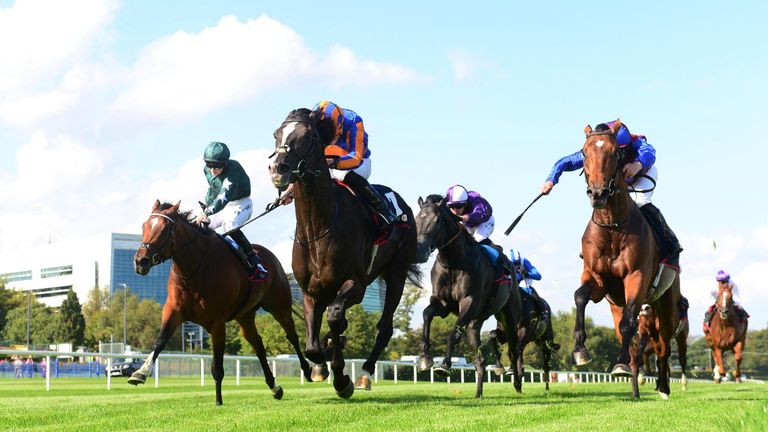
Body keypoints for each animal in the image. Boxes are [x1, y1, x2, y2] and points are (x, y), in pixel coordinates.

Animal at [130, 200, 310, 404]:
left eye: (164, 229)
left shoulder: (217, 321)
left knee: (291, 335)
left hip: (279, 306)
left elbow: (217, 365)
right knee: (258, 344)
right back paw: (274, 387)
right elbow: (160, 341)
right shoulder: (174, 310)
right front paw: (140, 372)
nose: (140, 261)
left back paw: (309, 370)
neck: (194, 268)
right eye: (144, 226)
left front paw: (218, 400)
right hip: (245, 315)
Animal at [416, 194, 524, 396]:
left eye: (437, 221)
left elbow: (453, 333)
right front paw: (425, 357)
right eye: (417, 219)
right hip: (475, 322)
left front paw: (444, 365)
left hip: (508, 315)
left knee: (514, 349)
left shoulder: (469, 302)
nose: (420, 248)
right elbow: (427, 314)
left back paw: (517, 382)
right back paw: (479, 393)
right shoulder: (443, 303)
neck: (454, 262)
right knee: (480, 360)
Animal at [572, 120, 680, 398]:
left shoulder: (636, 277)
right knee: (632, 344)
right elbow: (580, 296)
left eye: (615, 154)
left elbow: (630, 321)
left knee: (663, 347)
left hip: (666, 305)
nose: (597, 193)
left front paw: (619, 364)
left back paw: (663, 387)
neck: (612, 226)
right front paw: (580, 349)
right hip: (615, 305)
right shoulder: (598, 278)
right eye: (584, 153)